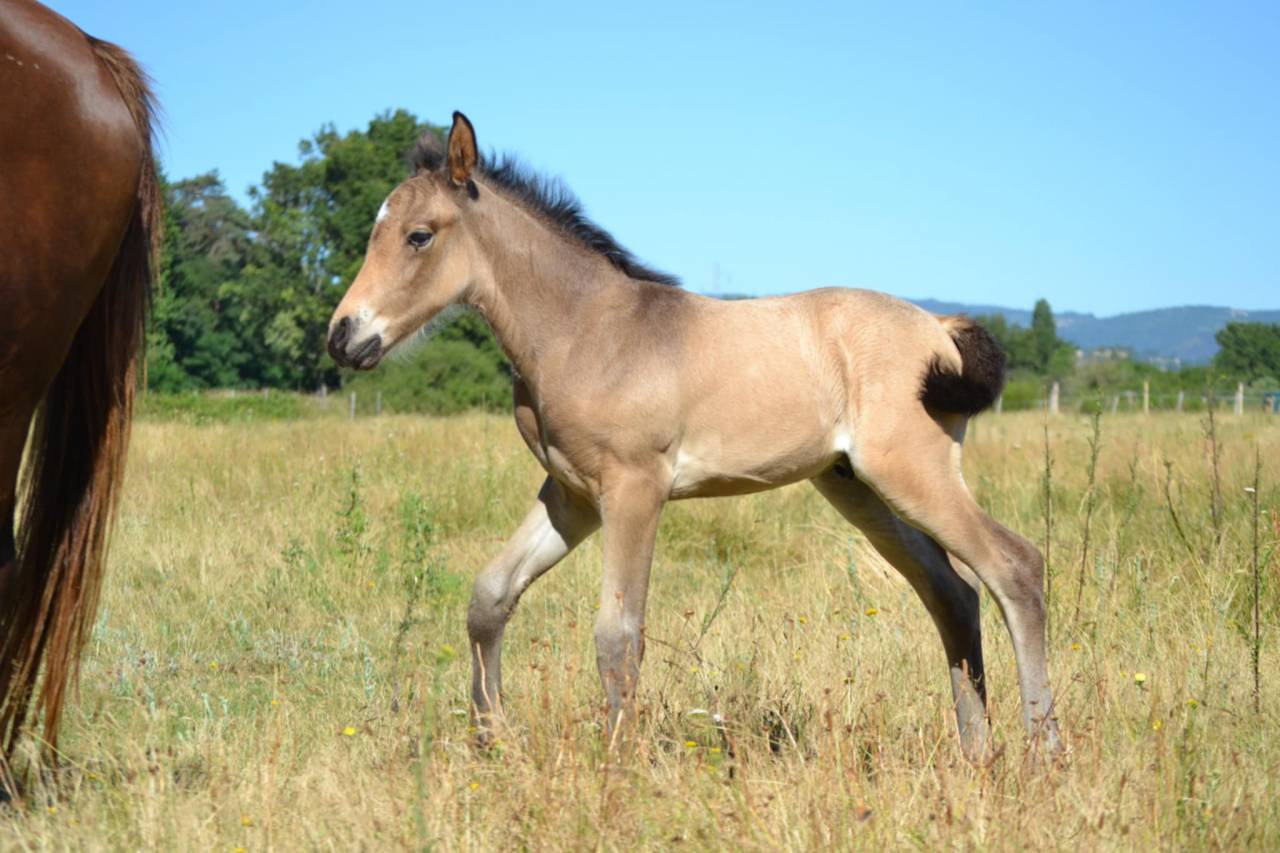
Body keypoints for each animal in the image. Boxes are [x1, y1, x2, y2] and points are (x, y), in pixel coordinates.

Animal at [327, 112, 1062, 761]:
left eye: (420, 236)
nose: (343, 336)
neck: (587, 330)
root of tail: (940, 328)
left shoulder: (635, 489)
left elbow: (618, 634)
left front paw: (618, 771)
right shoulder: (572, 494)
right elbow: (490, 597)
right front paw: (492, 744)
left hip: (910, 472)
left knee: (1015, 566)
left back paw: (1042, 753)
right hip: (858, 488)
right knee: (954, 594)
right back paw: (975, 752)